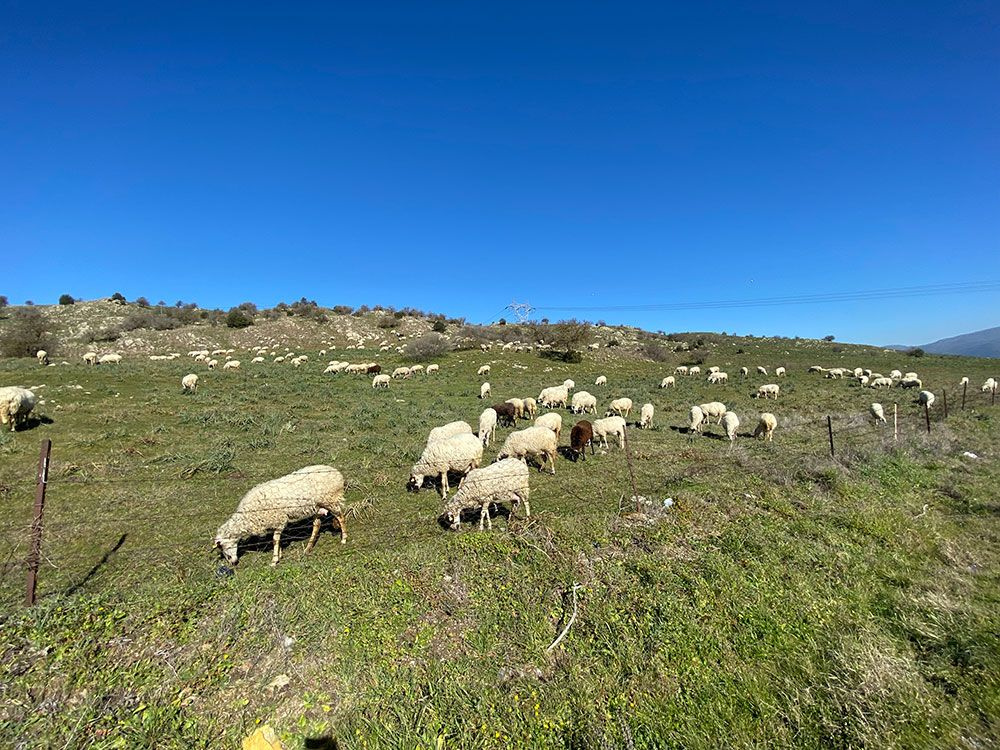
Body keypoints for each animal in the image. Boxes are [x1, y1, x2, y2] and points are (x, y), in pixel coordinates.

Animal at [214, 464, 348, 568]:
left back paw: (344, 538)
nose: (232, 562)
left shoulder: (279, 520)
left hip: (331, 500)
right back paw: (308, 548)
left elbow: (275, 540)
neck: (247, 516)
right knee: (317, 525)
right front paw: (279, 554)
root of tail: (336, 472)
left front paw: (274, 560)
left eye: (223, 546)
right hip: (317, 507)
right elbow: (277, 540)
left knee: (340, 517)